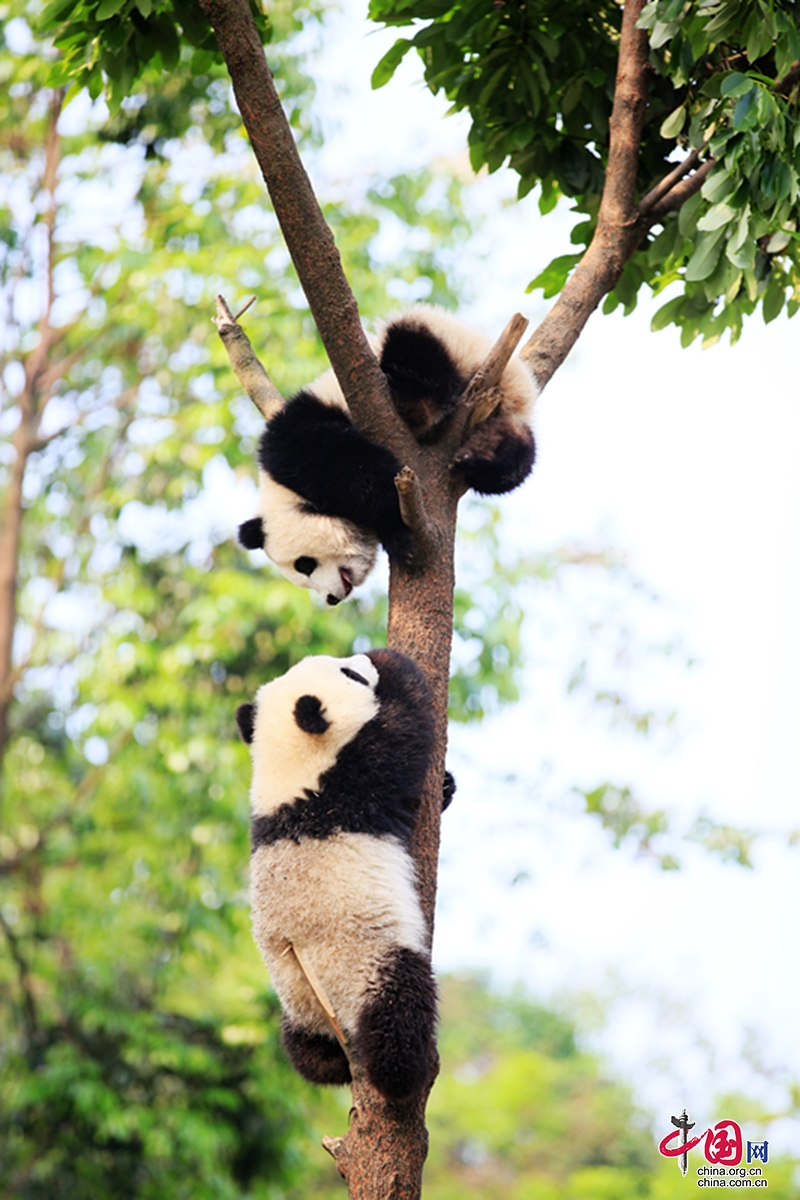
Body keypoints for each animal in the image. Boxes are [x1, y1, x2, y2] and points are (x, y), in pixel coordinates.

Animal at [235, 652, 453, 1099]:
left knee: (303, 1050)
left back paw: (329, 1063)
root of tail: (329, 1022)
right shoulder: (347, 786)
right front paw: (396, 667)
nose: (362, 659)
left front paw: (447, 786)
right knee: (399, 1012)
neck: (288, 774)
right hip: (366, 966)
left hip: (296, 1000)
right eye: (350, 674)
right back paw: (404, 1074)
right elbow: (399, 736)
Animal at [237, 304, 537, 604]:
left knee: (415, 350)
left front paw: (397, 525)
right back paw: (483, 456)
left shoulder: (297, 437)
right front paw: (394, 535)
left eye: (305, 564)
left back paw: (411, 399)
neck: (280, 490)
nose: (331, 599)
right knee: (514, 459)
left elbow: (339, 463)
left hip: (448, 340)